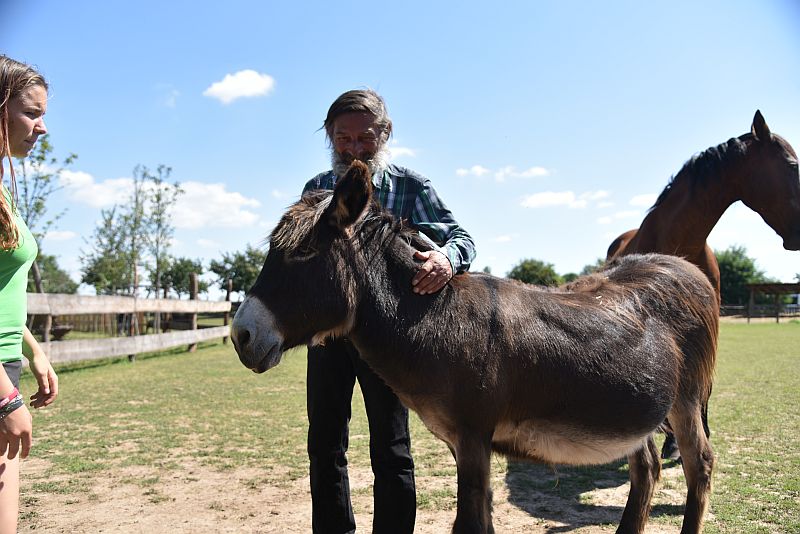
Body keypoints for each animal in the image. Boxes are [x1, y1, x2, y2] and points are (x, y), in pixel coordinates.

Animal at [230, 163, 720, 534]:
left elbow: (468, 524)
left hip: (685, 400)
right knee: (647, 468)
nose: (240, 336)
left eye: (304, 251)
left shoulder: (473, 437)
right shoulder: (463, 443)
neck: (435, 318)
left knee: (699, 466)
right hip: (635, 409)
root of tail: (683, 267)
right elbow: (480, 520)